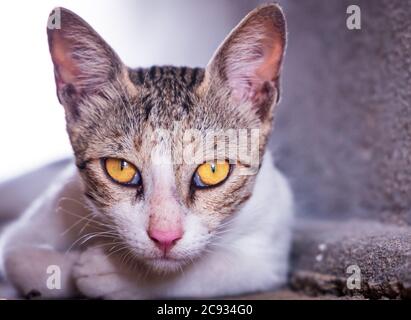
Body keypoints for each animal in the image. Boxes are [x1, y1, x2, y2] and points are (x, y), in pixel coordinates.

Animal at [0, 3, 292, 298]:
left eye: (213, 170)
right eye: (120, 168)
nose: (165, 237)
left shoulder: (272, 245)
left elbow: (219, 268)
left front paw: (115, 273)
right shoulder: (36, 222)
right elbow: (21, 257)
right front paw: (81, 266)